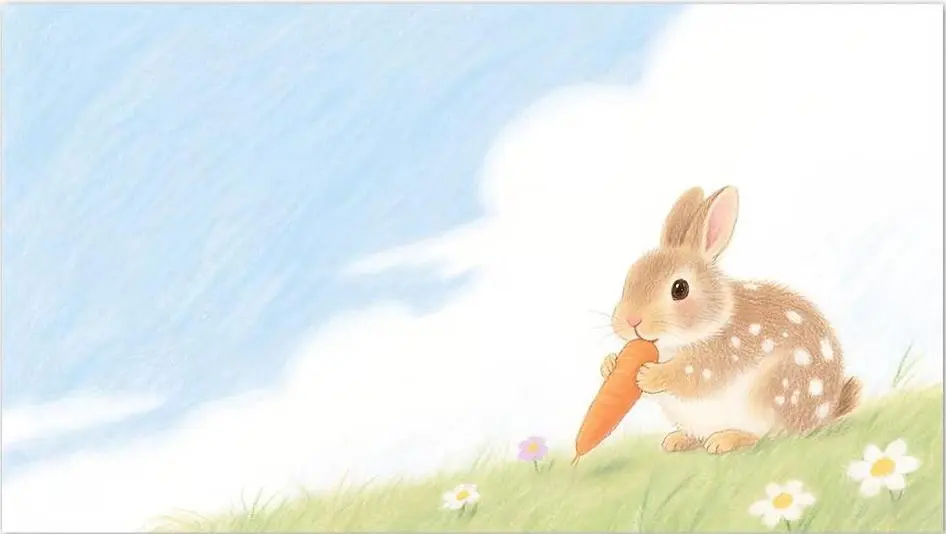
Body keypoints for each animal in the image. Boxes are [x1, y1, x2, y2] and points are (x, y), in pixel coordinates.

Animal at [600, 185, 862, 455]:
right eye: (630, 276)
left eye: (680, 289)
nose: (630, 321)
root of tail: (826, 413)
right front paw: (609, 364)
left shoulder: (719, 357)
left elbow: (688, 375)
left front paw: (648, 374)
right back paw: (678, 440)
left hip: (776, 393)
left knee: (772, 436)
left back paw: (724, 440)